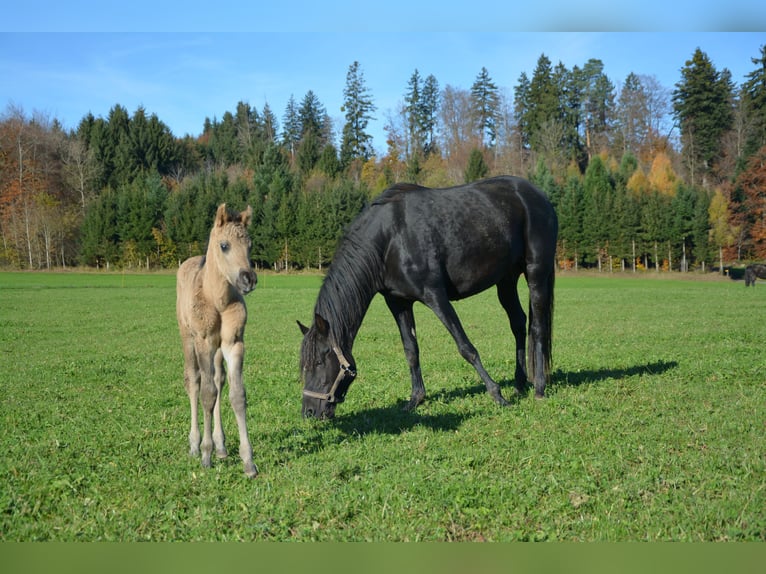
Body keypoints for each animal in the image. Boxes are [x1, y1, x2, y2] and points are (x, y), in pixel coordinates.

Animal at [176, 204, 258, 477]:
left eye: (249, 244)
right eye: (224, 245)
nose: (248, 279)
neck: (218, 299)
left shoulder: (234, 343)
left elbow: (237, 395)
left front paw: (248, 461)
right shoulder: (203, 342)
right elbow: (207, 394)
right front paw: (205, 454)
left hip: (218, 351)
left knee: (219, 380)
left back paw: (221, 447)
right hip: (187, 338)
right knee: (193, 381)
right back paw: (195, 444)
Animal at [298, 176, 558, 420]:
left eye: (320, 361)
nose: (309, 411)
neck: (391, 238)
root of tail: (539, 196)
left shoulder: (436, 296)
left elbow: (466, 347)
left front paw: (496, 394)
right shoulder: (398, 303)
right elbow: (411, 350)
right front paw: (416, 399)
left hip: (536, 273)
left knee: (538, 327)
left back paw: (539, 388)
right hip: (506, 280)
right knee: (518, 323)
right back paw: (519, 384)